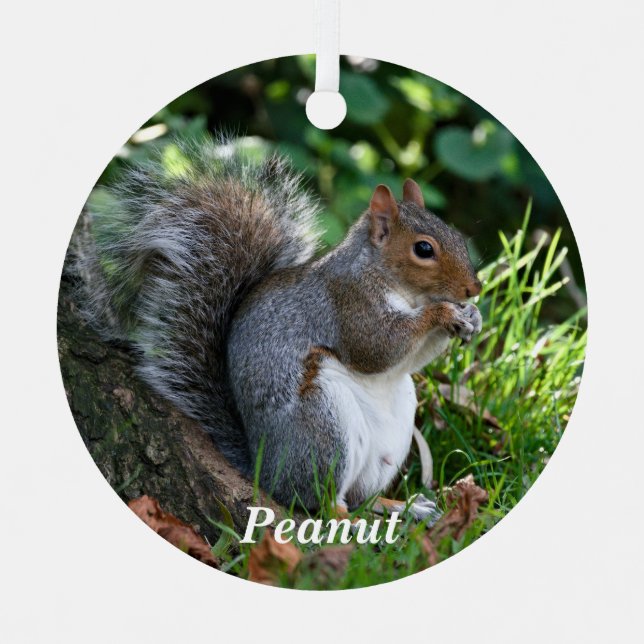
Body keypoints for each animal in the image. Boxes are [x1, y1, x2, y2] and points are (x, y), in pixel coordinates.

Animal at [74, 135, 482, 521]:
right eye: (424, 249)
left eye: (456, 236)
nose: (474, 288)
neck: (400, 288)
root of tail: (264, 470)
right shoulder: (349, 304)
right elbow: (377, 348)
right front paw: (444, 313)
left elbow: (409, 360)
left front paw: (472, 316)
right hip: (322, 428)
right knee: (322, 501)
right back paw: (350, 519)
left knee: (361, 498)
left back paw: (403, 506)